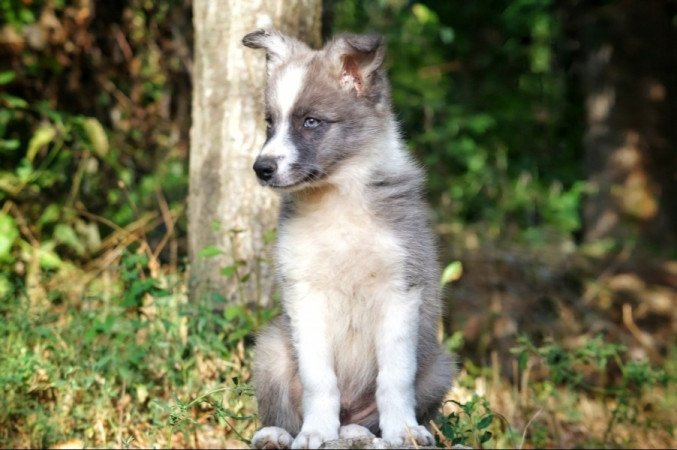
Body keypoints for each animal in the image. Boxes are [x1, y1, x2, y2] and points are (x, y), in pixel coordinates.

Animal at [243, 29, 454, 448]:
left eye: (311, 121)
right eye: (270, 123)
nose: (262, 168)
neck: (338, 196)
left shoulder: (400, 290)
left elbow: (395, 378)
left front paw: (404, 431)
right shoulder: (305, 292)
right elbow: (319, 379)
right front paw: (316, 432)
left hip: (439, 366)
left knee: (369, 419)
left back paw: (359, 431)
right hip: (272, 348)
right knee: (284, 411)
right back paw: (278, 434)